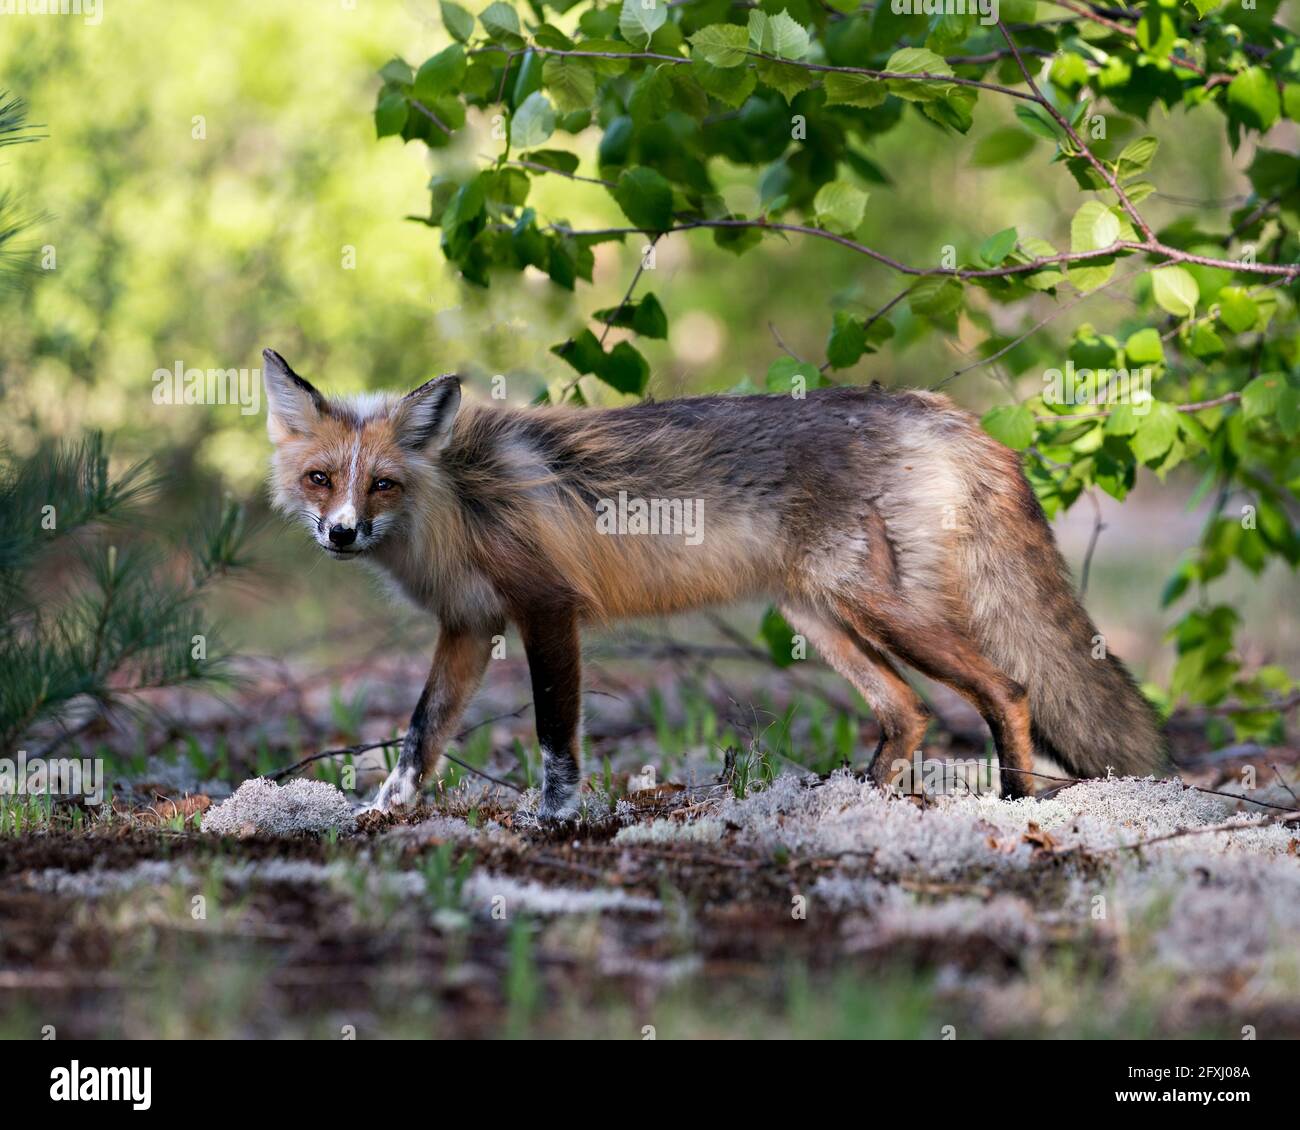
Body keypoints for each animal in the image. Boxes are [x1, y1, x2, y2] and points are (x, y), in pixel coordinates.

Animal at [261, 347, 1164, 820]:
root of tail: (948, 413)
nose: (342, 533)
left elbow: (554, 735)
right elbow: (420, 733)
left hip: (881, 610)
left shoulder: (547, 608)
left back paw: (1016, 808)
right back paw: (850, 807)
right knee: (906, 712)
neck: (457, 501)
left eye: (381, 484)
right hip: (822, 616)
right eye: (319, 479)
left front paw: (553, 817)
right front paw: (384, 811)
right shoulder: (469, 627)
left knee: (1007, 689)